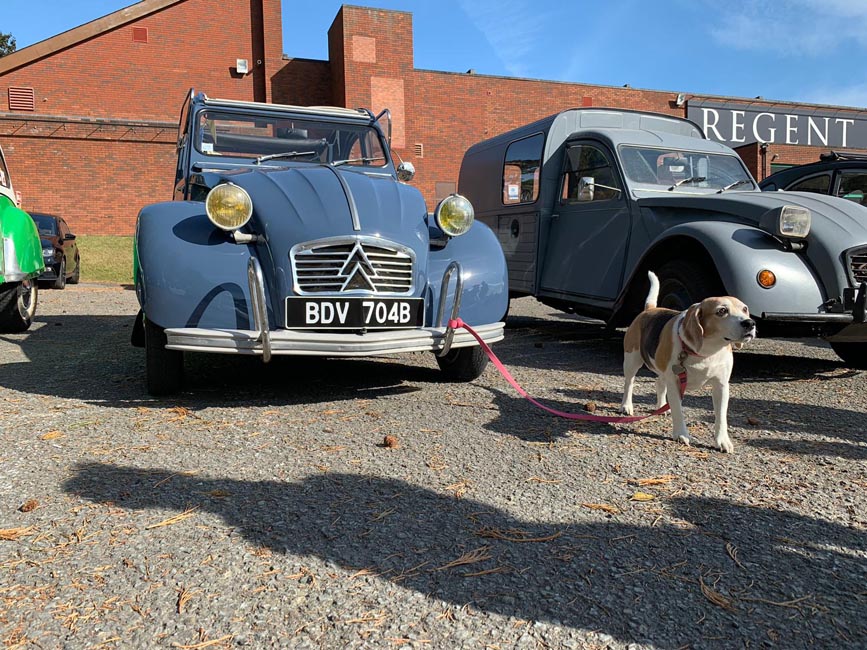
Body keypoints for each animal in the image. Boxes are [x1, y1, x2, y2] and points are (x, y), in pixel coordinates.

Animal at [620, 272, 756, 450]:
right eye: (722, 311)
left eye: (745, 309)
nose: (750, 323)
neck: (707, 352)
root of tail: (650, 309)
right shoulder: (675, 382)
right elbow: (678, 410)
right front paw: (681, 434)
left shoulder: (721, 385)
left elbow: (721, 416)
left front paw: (722, 441)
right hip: (632, 360)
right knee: (629, 383)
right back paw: (626, 406)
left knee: (659, 382)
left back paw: (661, 407)